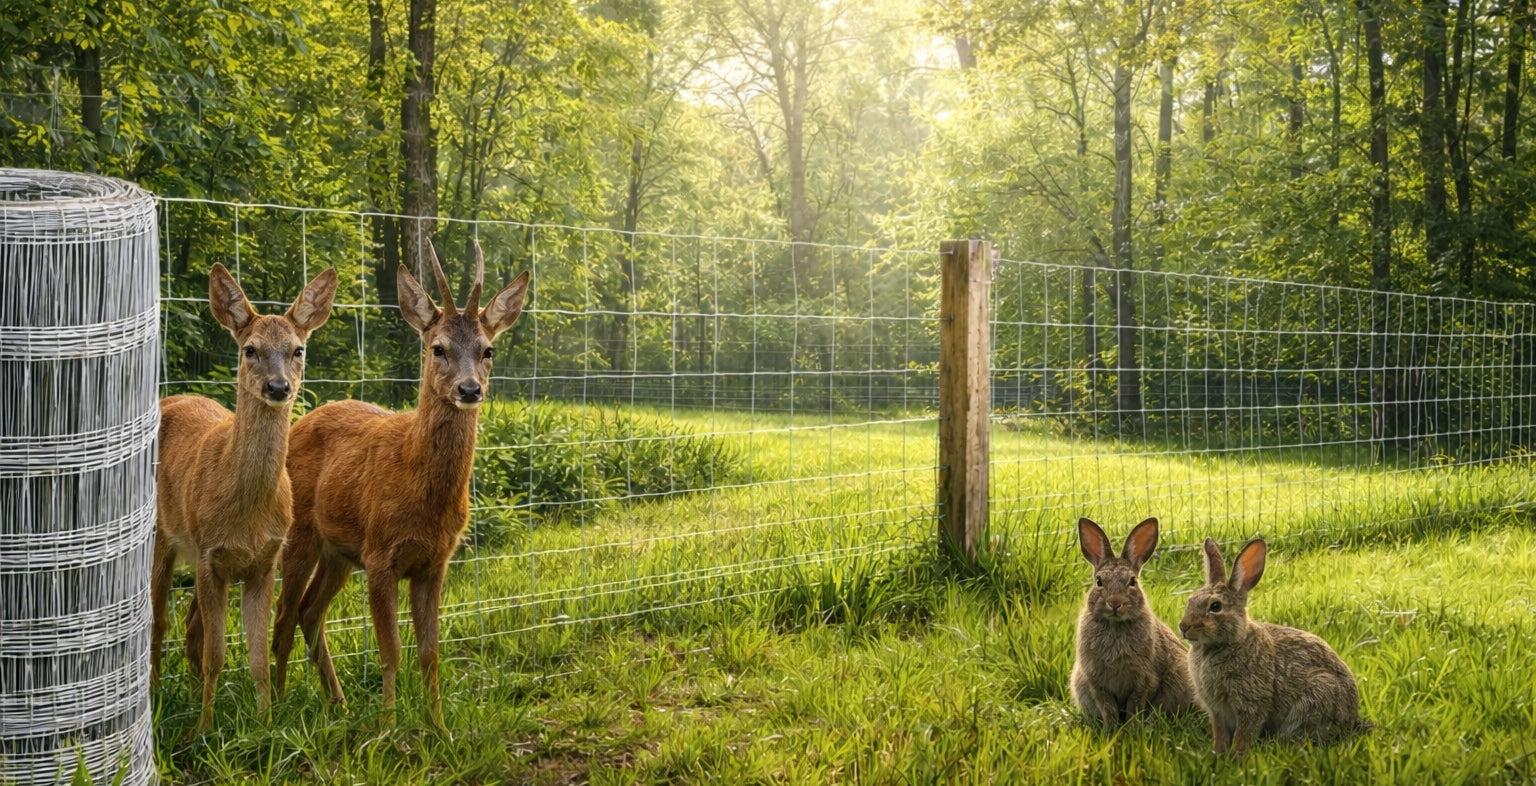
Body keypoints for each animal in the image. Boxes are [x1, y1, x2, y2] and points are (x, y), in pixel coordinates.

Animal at [151, 263, 338, 732]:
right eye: (250, 349)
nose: (278, 387)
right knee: (159, 621)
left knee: (190, 628)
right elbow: (217, 654)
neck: (246, 515)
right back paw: (158, 695)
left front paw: (266, 724)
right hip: (163, 538)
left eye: (297, 350)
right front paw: (204, 731)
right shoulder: (209, 557)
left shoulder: (262, 562)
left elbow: (256, 657)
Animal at [271, 240, 529, 727]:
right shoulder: (380, 555)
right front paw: (389, 728)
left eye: (488, 350)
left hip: (339, 551)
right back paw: (273, 711)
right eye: (438, 348)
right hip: (300, 535)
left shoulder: (435, 562)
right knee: (284, 616)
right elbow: (390, 650)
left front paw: (439, 727)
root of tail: (302, 421)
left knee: (309, 612)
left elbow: (429, 652)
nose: (469, 390)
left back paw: (339, 702)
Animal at [1070, 517, 1198, 729]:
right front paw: (1111, 732)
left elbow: (1133, 707)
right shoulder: (1096, 683)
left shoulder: (1143, 680)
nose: (1115, 603)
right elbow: (1109, 709)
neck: (1115, 625)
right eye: (1099, 581)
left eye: (1132, 582)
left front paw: (1131, 731)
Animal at [1179, 538, 1372, 756]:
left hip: (1318, 695)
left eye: (1215, 607)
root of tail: (1352, 717)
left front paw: (1236, 756)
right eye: (1190, 601)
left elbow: (1244, 733)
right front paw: (1219, 754)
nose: (1183, 627)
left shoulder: (1251, 704)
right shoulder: (1217, 711)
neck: (1226, 643)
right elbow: (1220, 734)